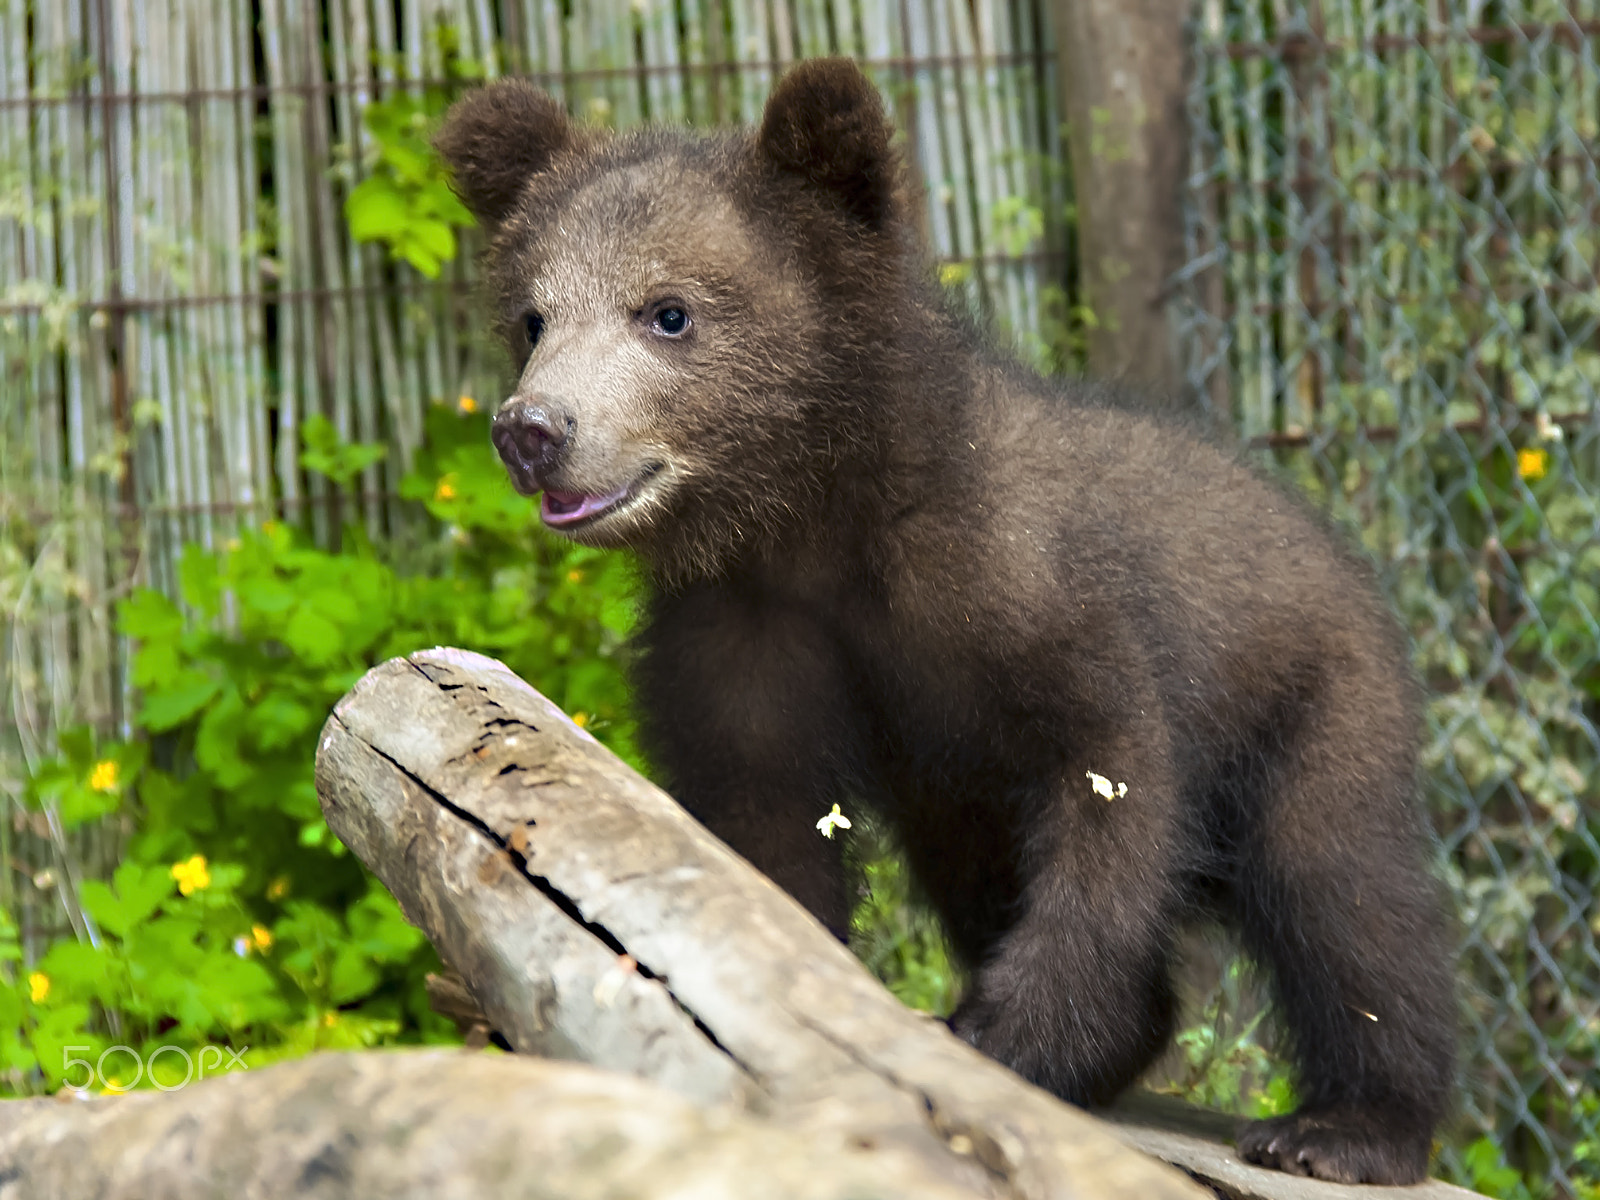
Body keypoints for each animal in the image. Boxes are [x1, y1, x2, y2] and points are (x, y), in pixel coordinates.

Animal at [435, 58, 1457, 1185]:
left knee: (1342, 894)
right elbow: (758, 814)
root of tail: (1338, 548)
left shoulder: (1023, 593)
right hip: (956, 799)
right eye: (534, 316)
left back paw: (1347, 1124)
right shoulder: (744, 634)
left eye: (667, 312)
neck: (812, 519)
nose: (534, 430)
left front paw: (1011, 1035)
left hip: (1316, 700)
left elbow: (1110, 786)